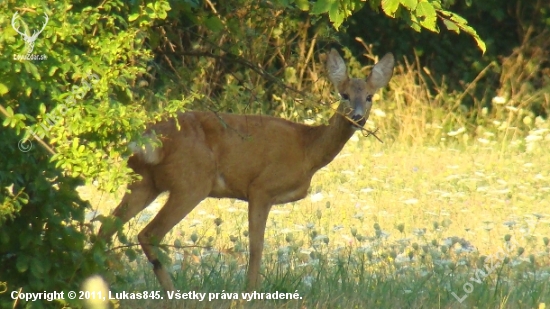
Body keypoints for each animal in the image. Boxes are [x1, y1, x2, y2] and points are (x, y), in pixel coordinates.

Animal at [97, 48, 394, 292]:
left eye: (369, 96)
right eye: (344, 95)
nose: (357, 117)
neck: (307, 150)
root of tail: (150, 135)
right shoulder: (261, 188)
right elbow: (256, 246)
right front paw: (250, 292)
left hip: (144, 182)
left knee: (105, 228)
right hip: (191, 182)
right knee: (148, 233)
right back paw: (172, 292)